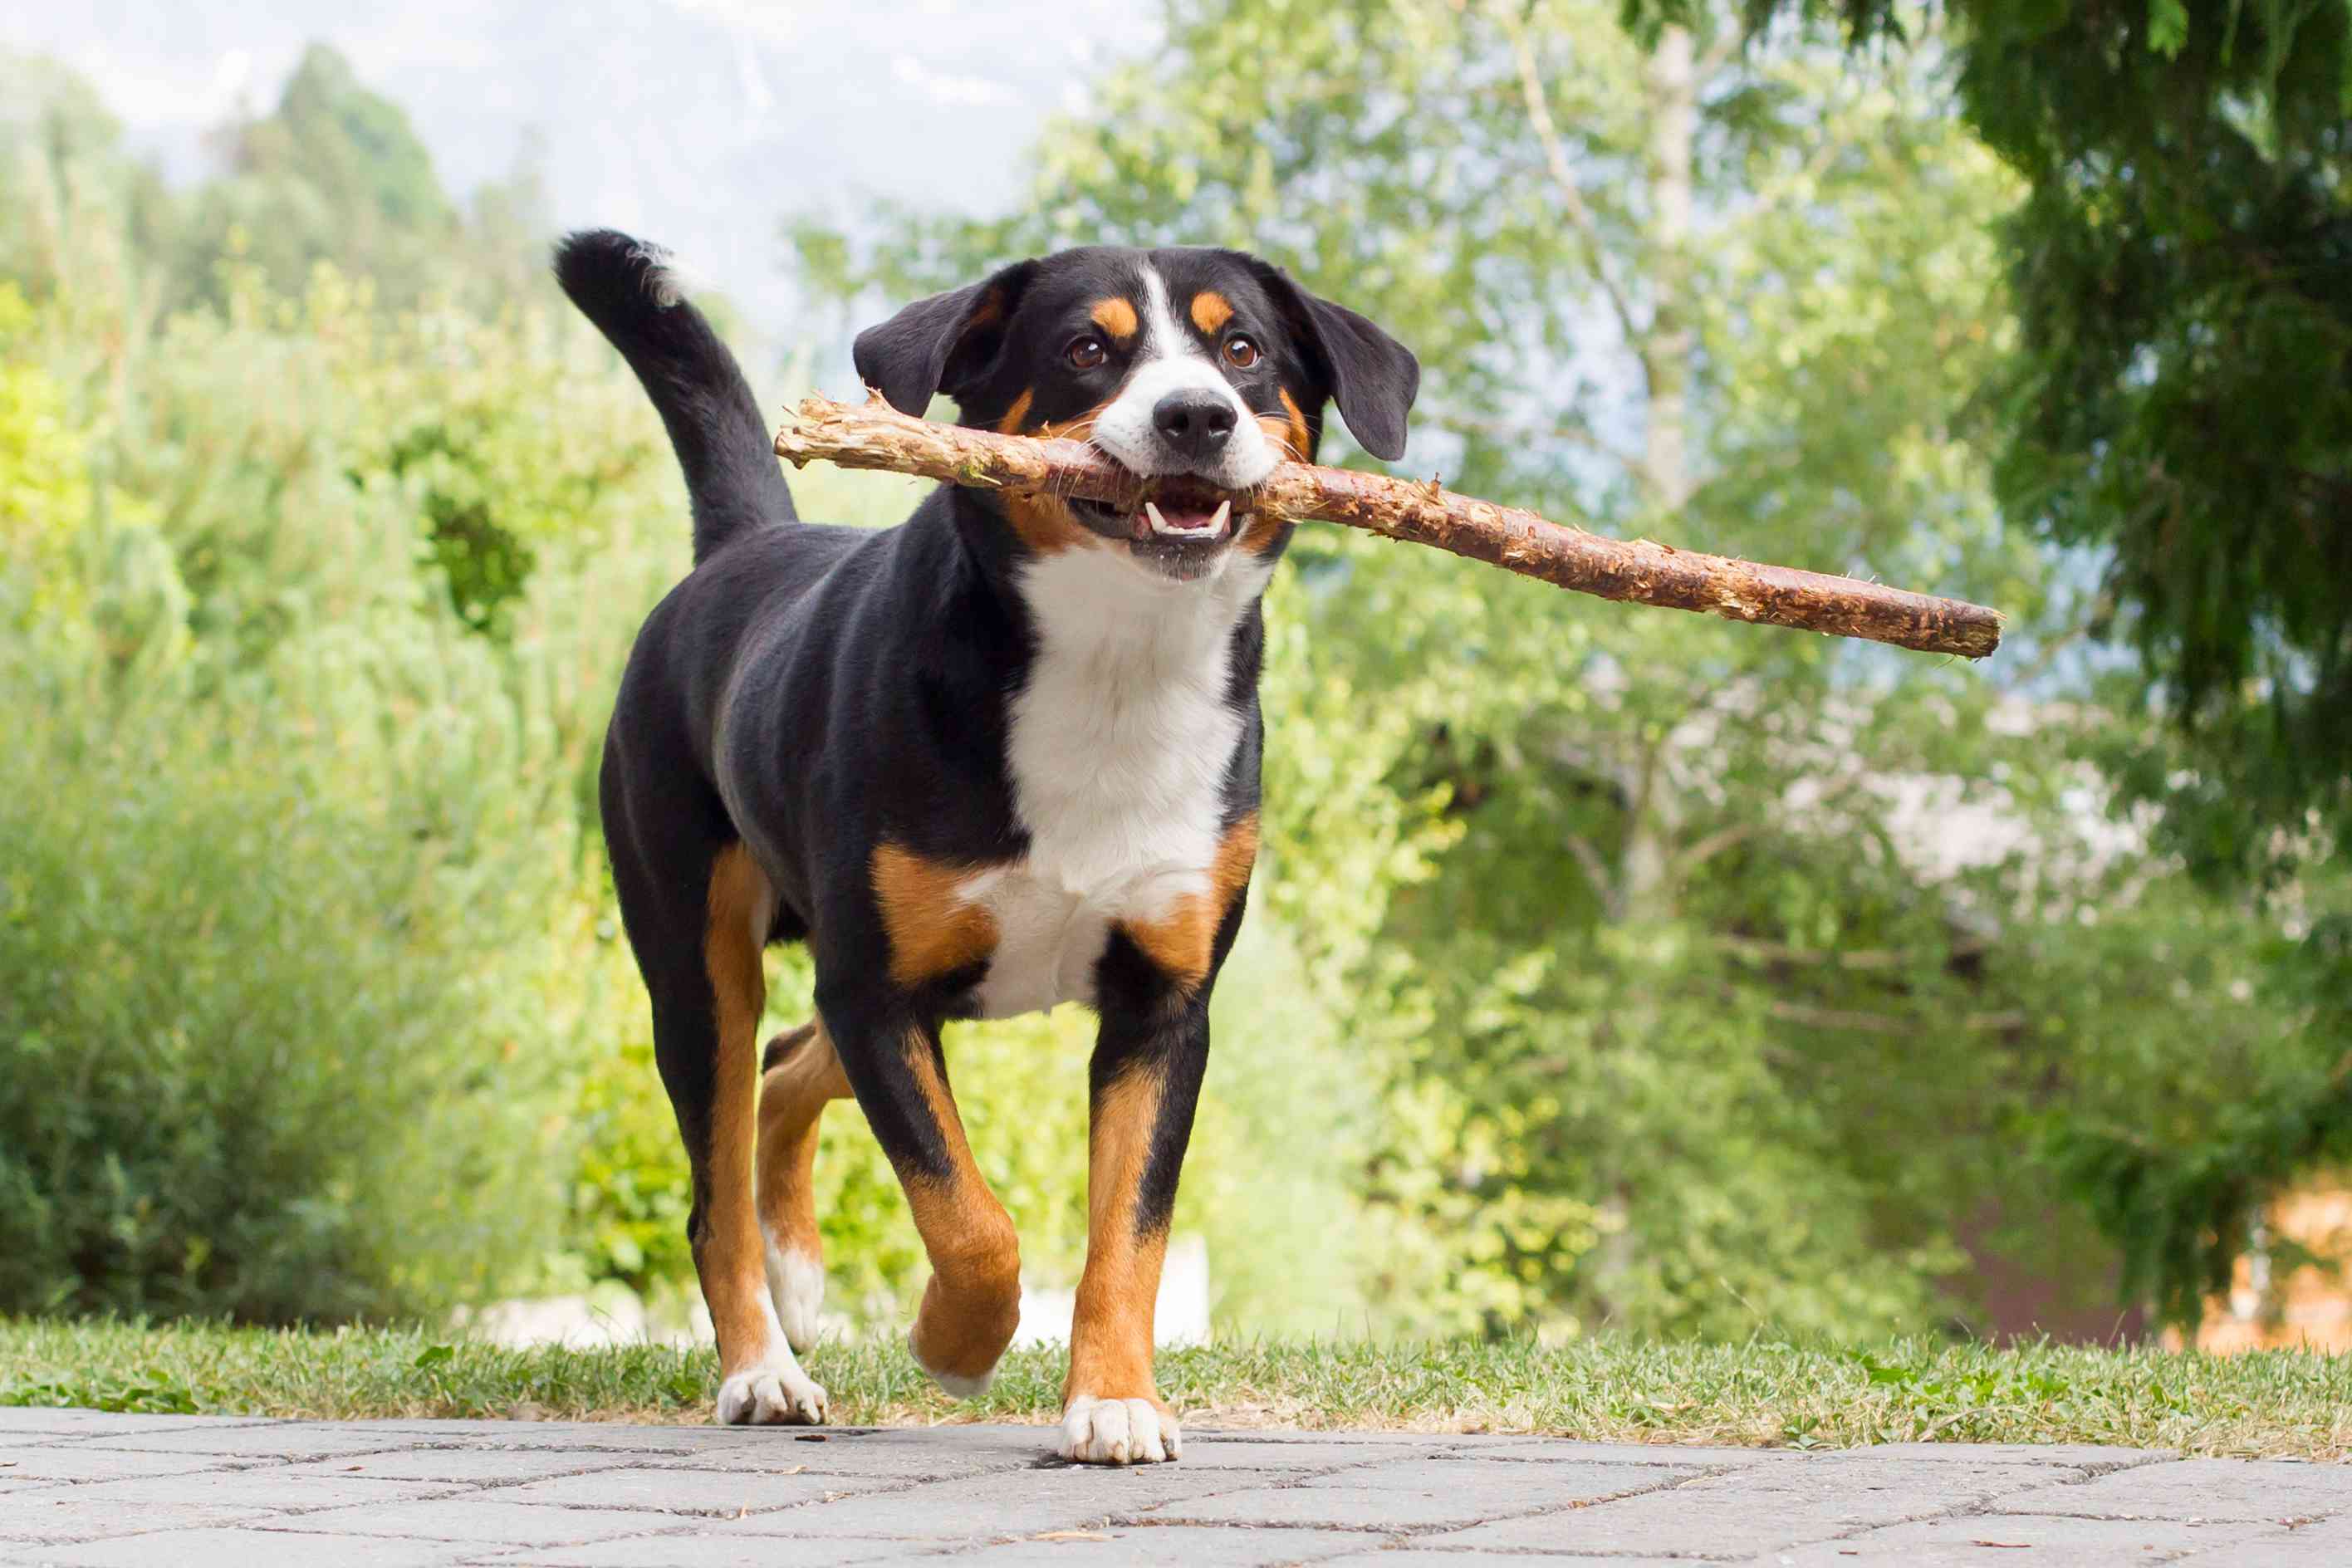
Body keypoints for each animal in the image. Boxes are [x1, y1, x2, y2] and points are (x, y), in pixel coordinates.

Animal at [550, 227, 1411, 1467]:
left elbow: (1128, 1235)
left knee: (786, 1071)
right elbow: (969, 1219)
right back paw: (763, 1368)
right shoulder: (878, 988)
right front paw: (953, 1343)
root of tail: (746, 544)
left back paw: (798, 1269)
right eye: (1088, 348)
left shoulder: (1162, 1004)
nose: (1197, 416)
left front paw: (1115, 1400)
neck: (1113, 668)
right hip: (699, 961)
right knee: (718, 1172)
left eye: (1241, 348)